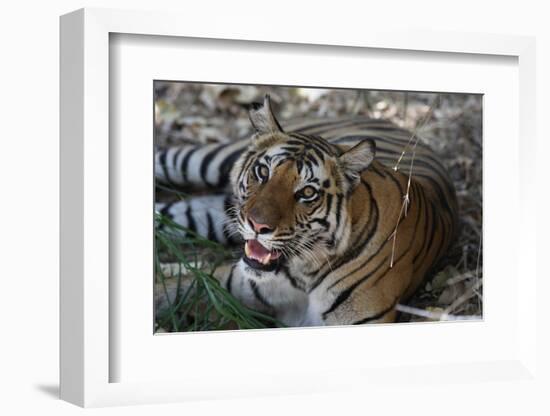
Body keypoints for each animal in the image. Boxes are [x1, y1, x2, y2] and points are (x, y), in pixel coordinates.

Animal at [157, 96, 460, 326]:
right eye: (263, 172)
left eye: (307, 193)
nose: (257, 225)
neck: (303, 274)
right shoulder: (223, 282)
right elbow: (167, 291)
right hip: (211, 161)